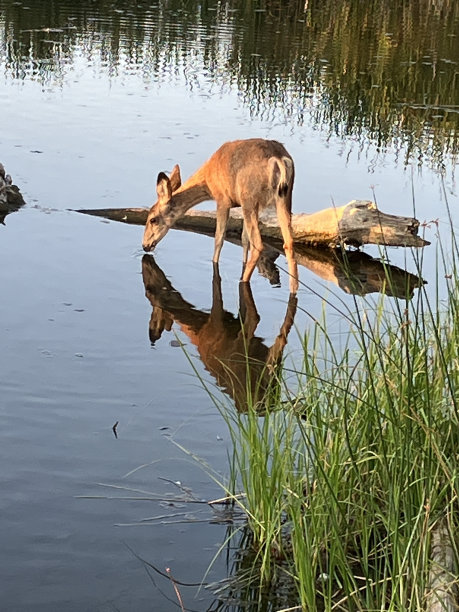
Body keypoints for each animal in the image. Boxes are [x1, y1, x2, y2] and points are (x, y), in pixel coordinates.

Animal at [145, 138, 302, 294]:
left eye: (152, 219)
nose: (145, 245)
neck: (207, 181)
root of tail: (278, 158)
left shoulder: (223, 200)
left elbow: (219, 238)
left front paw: (214, 262)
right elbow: (244, 239)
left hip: (249, 198)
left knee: (258, 244)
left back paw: (243, 280)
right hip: (284, 197)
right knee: (289, 243)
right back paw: (293, 290)